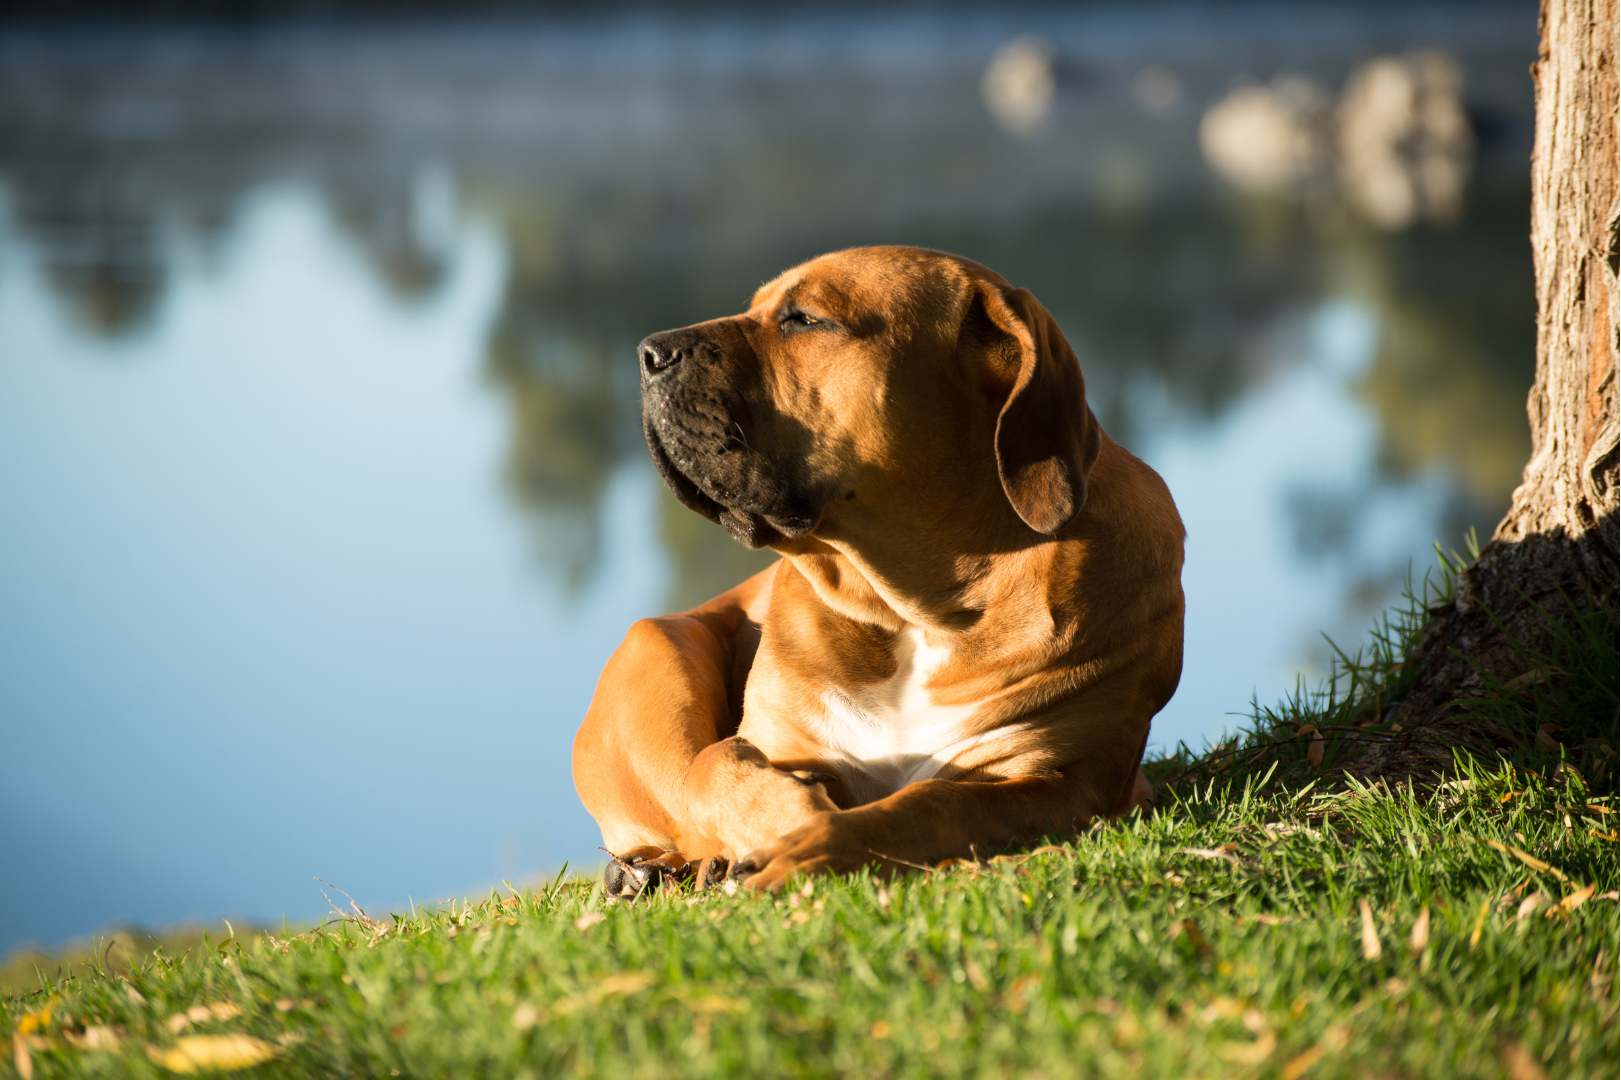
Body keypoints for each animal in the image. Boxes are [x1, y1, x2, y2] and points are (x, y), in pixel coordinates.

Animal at [577, 246, 1186, 888]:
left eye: (803, 319)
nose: (649, 352)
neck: (915, 610)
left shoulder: (1062, 781)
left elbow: (929, 804)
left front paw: (812, 842)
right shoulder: (768, 739)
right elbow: (714, 764)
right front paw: (788, 819)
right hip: (658, 649)